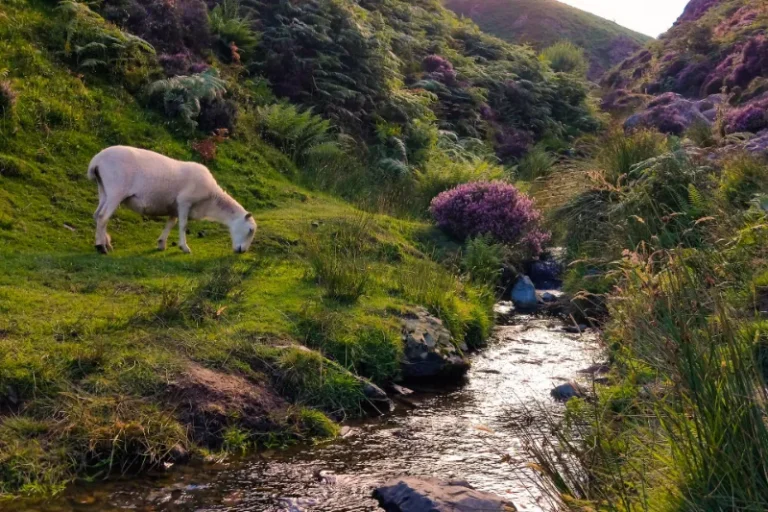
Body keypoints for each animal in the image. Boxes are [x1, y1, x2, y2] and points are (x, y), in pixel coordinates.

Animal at [87, 146, 257, 255]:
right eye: (250, 230)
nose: (242, 251)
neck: (211, 201)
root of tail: (96, 161)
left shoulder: (174, 207)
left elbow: (171, 223)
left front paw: (161, 244)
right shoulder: (184, 202)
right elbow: (183, 225)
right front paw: (184, 248)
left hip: (104, 190)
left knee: (97, 215)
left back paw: (106, 243)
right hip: (116, 190)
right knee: (103, 217)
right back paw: (101, 247)